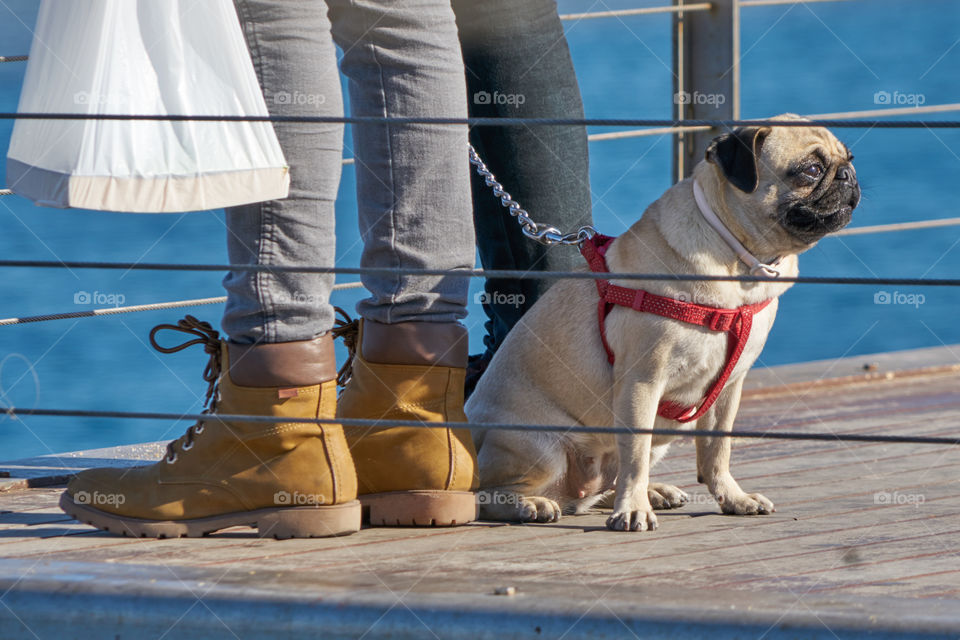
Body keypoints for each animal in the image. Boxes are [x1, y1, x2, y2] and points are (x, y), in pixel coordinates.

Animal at [466, 114, 864, 528]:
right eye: (811, 170)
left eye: (849, 159)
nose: (848, 175)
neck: (739, 266)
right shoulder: (642, 382)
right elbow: (635, 455)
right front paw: (632, 510)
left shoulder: (728, 388)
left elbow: (717, 451)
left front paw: (732, 498)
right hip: (542, 448)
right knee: (484, 495)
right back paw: (531, 505)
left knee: (601, 486)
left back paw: (650, 492)